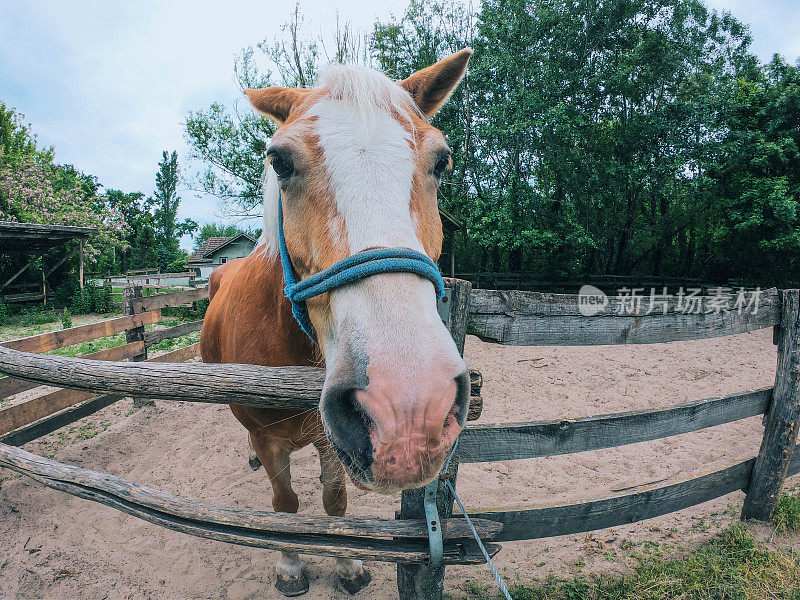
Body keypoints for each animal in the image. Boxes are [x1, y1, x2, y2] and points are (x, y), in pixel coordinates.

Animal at [200, 50, 472, 596]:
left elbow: (334, 502)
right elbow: (285, 507)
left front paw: (347, 564)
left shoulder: (331, 439)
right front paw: (290, 567)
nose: (409, 407)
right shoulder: (271, 440)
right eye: (279, 161)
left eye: (442, 160)